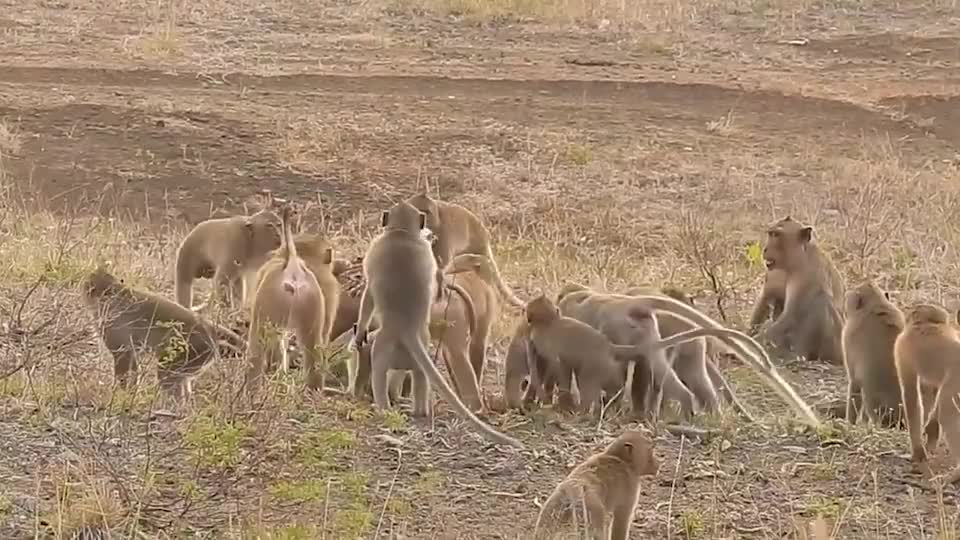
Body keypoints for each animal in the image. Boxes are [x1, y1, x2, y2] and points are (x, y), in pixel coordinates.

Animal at [80, 266, 246, 400]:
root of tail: (206, 325)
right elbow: (132, 360)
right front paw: (129, 394)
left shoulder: (111, 325)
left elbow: (123, 357)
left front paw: (119, 394)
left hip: (193, 350)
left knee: (166, 373)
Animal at [350, 200, 520, 450]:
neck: (401, 233)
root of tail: (409, 331)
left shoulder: (375, 248)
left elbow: (369, 296)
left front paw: (360, 329)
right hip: (420, 347)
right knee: (421, 374)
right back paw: (420, 410)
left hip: (385, 345)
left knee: (379, 366)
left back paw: (384, 407)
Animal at [532, 430, 660, 540]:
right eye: (650, 450)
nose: (658, 462)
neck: (621, 458)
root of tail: (572, 491)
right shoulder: (631, 484)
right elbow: (621, 519)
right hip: (592, 510)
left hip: (556, 502)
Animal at [760, 217, 844, 364]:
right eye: (770, 233)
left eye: (777, 235)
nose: (765, 249)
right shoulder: (773, 272)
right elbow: (766, 298)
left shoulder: (809, 274)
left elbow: (792, 314)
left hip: (835, 347)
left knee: (820, 301)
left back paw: (798, 356)